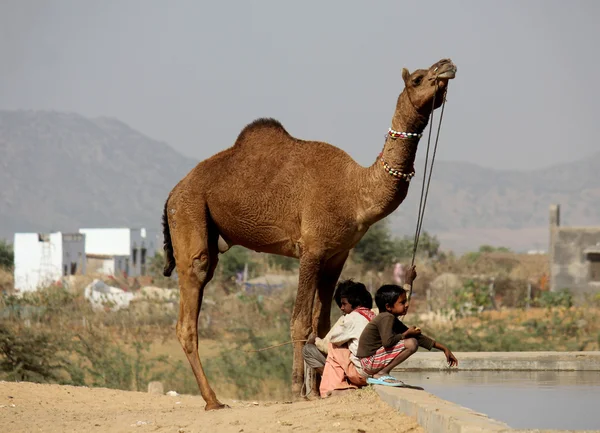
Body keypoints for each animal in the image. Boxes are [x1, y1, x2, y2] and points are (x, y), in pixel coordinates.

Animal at [162, 59, 458, 410]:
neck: (354, 193)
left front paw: (317, 388)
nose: (447, 66)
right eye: (418, 78)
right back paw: (213, 400)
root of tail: (172, 193)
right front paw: (296, 391)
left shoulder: (336, 255)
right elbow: (300, 321)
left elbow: (324, 324)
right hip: (190, 212)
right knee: (190, 300)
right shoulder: (311, 248)